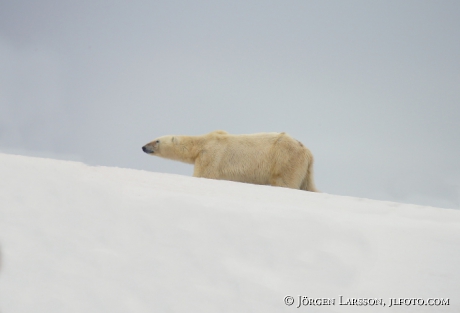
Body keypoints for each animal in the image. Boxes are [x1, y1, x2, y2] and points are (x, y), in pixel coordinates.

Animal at [142, 129, 318, 190]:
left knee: (284, 181)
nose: (144, 147)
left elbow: (204, 175)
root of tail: (307, 151)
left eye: (157, 141)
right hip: (303, 168)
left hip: (285, 159)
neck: (203, 142)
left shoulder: (211, 155)